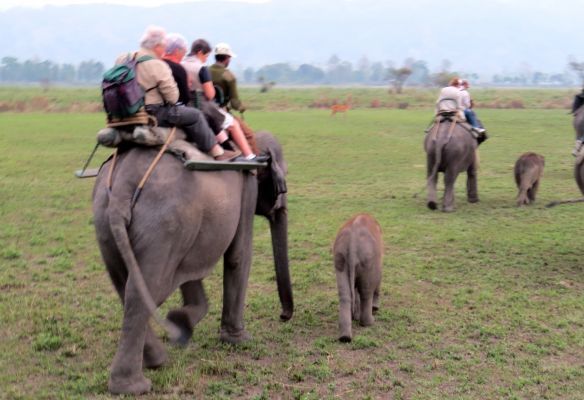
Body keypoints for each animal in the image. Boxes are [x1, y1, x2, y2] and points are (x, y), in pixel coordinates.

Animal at [93, 130, 292, 394]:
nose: (283, 316)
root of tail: (123, 185)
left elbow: (189, 271)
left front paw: (181, 322)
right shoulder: (247, 187)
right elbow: (238, 255)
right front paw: (239, 340)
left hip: (106, 221)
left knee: (127, 288)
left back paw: (155, 361)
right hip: (164, 224)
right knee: (145, 291)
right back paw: (135, 385)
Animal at [334, 214, 384, 342]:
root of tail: (352, 243)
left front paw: (355, 315)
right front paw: (375, 308)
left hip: (340, 257)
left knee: (344, 294)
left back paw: (345, 337)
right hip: (368, 259)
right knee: (366, 291)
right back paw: (369, 322)